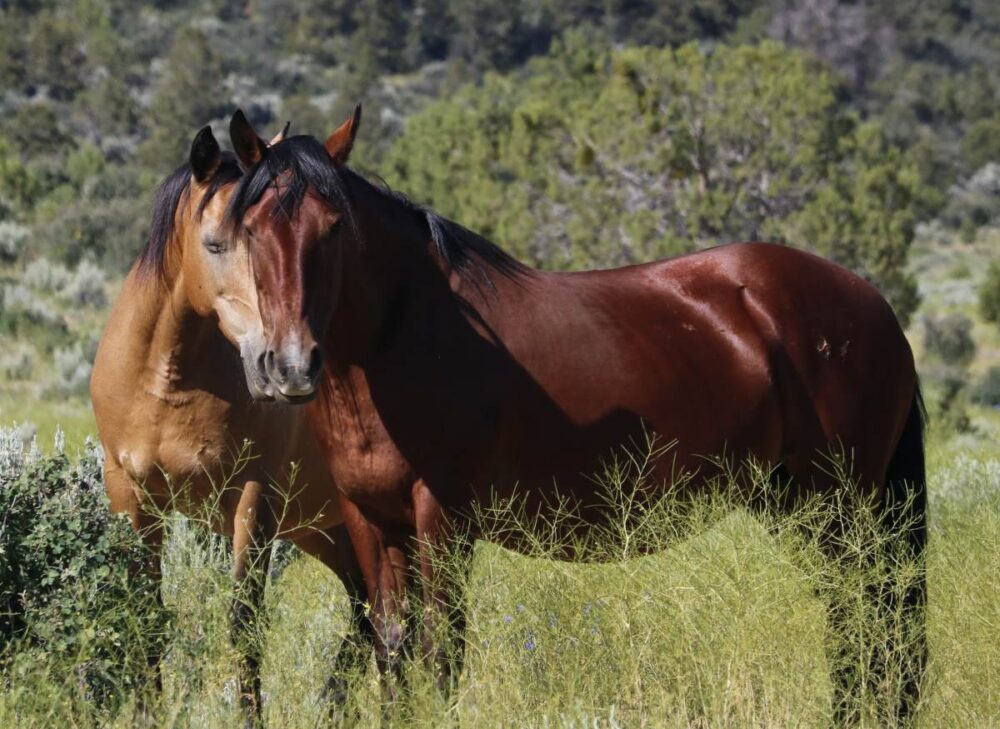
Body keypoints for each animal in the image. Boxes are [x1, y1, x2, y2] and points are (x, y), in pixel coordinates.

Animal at [89, 122, 372, 724]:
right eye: (216, 243)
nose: (285, 364)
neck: (165, 383)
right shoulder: (132, 495)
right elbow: (146, 616)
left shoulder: (253, 499)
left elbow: (244, 624)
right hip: (325, 529)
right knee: (366, 610)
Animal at [227, 108, 928, 724]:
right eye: (251, 231)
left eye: (333, 227)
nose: (290, 365)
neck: (403, 335)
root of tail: (873, 304)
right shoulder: (370, 519)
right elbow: (392, 651)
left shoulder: (442, 520)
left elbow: (442, 654)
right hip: (799, 505)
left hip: (841, 508)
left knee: (869, 621)